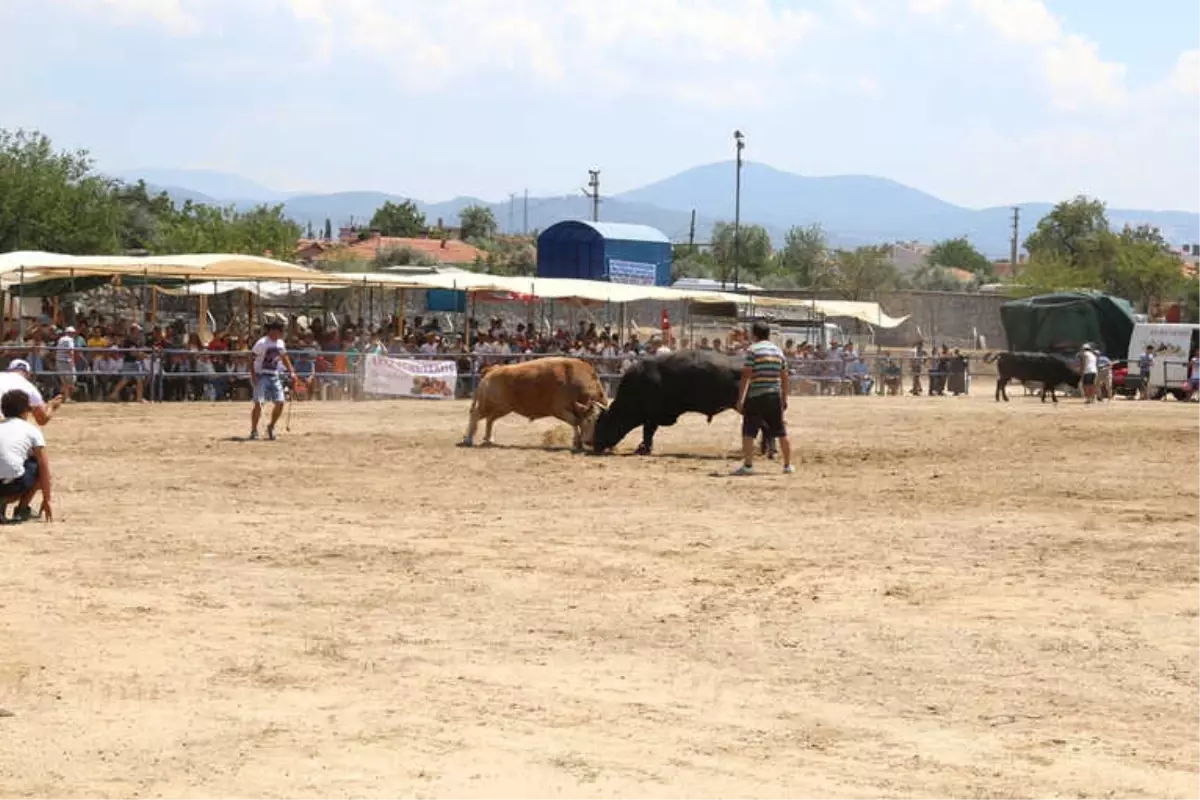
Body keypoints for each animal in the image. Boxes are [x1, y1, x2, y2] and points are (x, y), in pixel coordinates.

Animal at [458, 357, 609, 450]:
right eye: (589, 420)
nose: (590, 441)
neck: (573, 379)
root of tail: (492, 370)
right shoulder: (560, 409)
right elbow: (576, 422)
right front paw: (577, 443)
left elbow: (576, 422)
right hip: (488, 405)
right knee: (475, 415)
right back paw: (468, 440)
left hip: (502, 408)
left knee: (490, 419)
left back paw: (489, 439)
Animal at [590, 352, 739, 455]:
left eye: (601, 423)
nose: (595, 445)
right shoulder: (652, 418)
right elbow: (648, 432)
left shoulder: (651, 418)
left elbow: (648, 432)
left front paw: (644, 449)